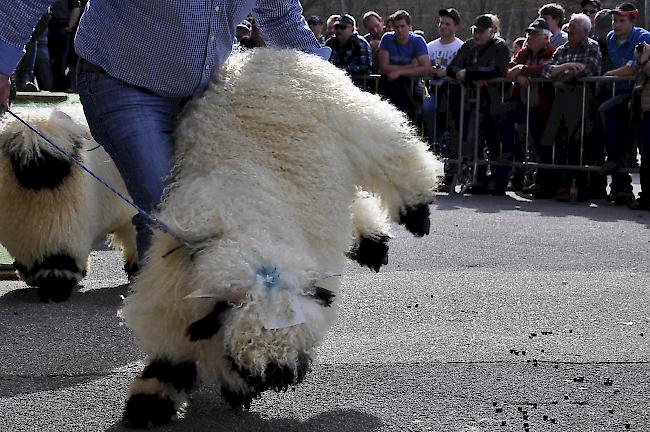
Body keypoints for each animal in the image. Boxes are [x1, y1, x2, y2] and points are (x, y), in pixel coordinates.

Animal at [0, 106, 137, 302]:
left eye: (50, 155)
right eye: (17, 152)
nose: (38, 174)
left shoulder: (62, 232)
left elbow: (58, 265)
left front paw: (53, 292)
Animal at [117, 49, 440, 426]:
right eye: (247, 347)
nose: (278, 375)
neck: (254, 244)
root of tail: (259, 52)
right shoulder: (175, 286)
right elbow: (172, 347)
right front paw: (151, 402)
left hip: (353, 122)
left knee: (394, 154)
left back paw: (414, 215)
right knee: (357, 195)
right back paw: (372, 243)